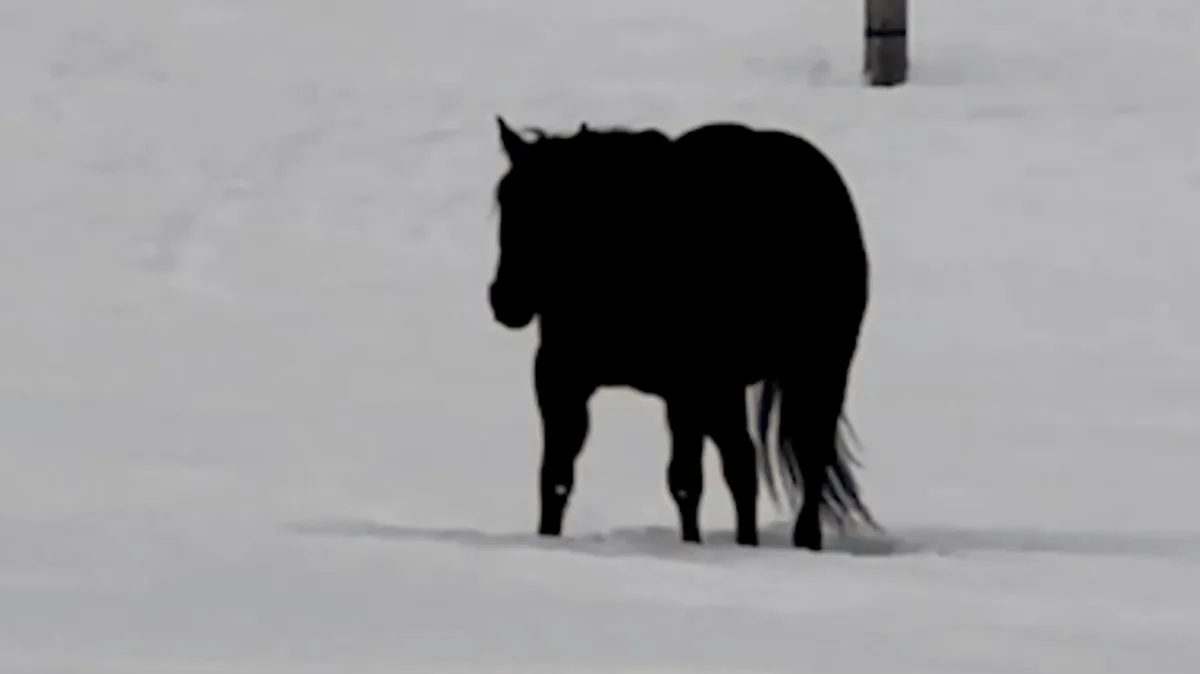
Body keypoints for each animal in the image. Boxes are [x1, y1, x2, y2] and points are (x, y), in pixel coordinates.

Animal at [486, 115, 879, 550]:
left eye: (557, 208)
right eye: (505, 198)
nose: (506, 300)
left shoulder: (691, 387)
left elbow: (687, 481)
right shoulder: (561, 379)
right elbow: (556, 476)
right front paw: (548, 540)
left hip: (817, 369)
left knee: (804, 458)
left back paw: (801, 540)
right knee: (745, 462)